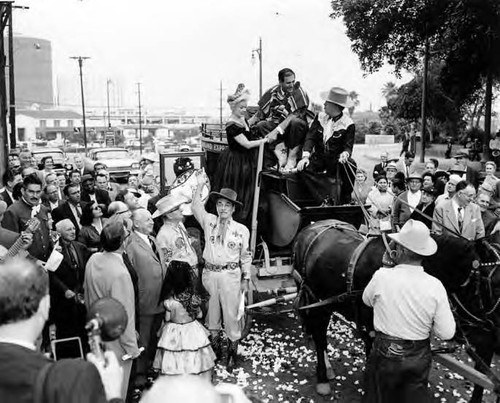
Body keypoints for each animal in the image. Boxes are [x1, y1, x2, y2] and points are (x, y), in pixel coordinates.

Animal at [294, 219, 500, 402]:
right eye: (493, 283)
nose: (493, 336)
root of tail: (310, 227)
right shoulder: (372, 325)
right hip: (316, 299)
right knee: (319, 336)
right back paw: (323, 376)